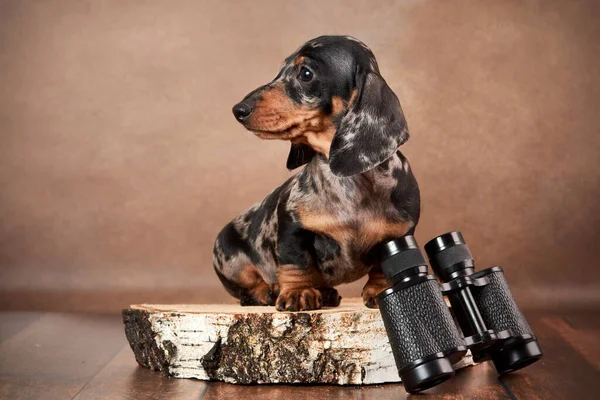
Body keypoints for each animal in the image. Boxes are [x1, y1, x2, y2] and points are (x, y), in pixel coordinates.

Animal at [213, 35, 420, 312]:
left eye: (306, 73)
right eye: (281, 70)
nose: (238, 110)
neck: (349, 184)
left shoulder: (398, 235)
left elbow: (383, 267)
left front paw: (381, 290)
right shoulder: (291, 228)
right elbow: (296, 262)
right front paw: (298, 292)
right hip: (229, 256)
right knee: (247, 289)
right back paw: (269, 291)